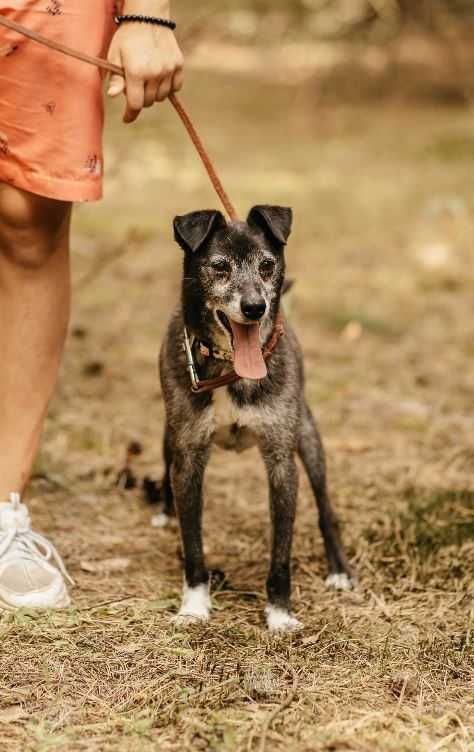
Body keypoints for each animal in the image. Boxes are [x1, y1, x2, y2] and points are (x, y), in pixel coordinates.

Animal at [157, 203, 354, 632]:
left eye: (267, 265)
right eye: (219, 266)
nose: (254, 307)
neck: (231, 368)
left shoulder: (282, 464)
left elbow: (280, 552)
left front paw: (279, 615)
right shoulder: (188, 458)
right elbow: (193, 546)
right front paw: (194, 607)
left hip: (308, 437)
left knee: (325, 507)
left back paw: (339, 571)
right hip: (168, 436)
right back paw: (163, 512)